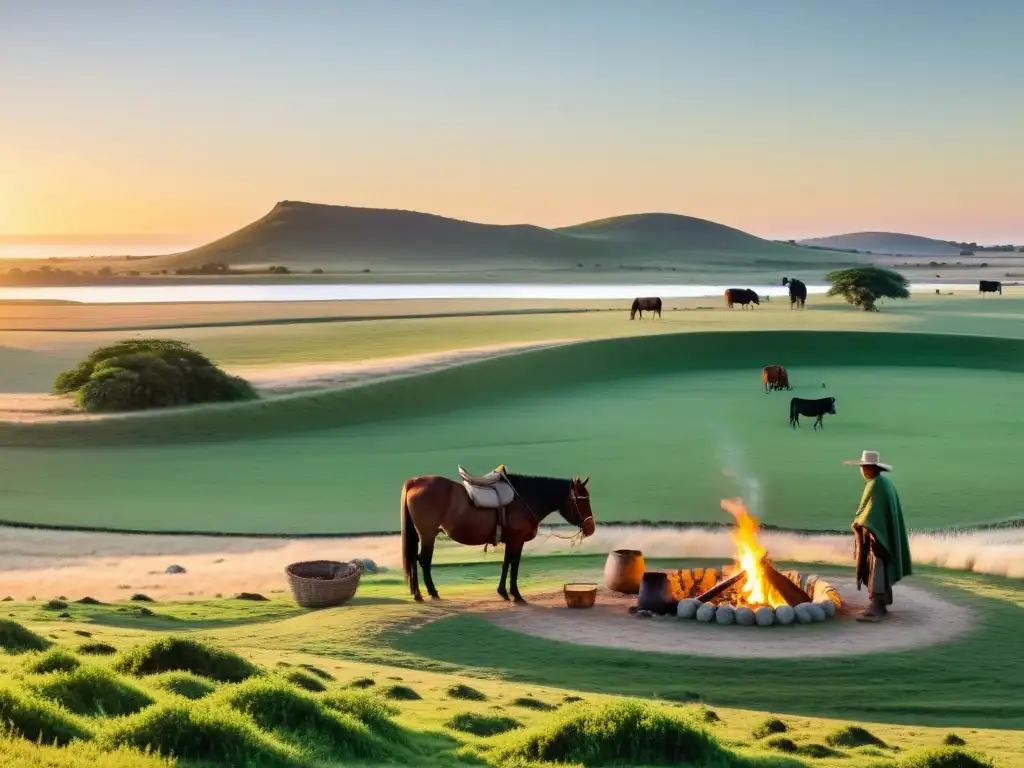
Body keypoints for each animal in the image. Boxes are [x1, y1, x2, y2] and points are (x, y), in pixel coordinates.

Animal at [397, 473, 593, 606]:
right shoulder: (517, 541)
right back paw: (427, 593)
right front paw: (516, 595)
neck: (524, 498)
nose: (591, 527)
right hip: (428, 534)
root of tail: (416, 481)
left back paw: (419, 593)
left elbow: (506, 564)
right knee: (422, 560)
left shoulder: (510, 541)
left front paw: (503, 592)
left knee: (414, 559)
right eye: (582, 500)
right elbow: (514, 565)